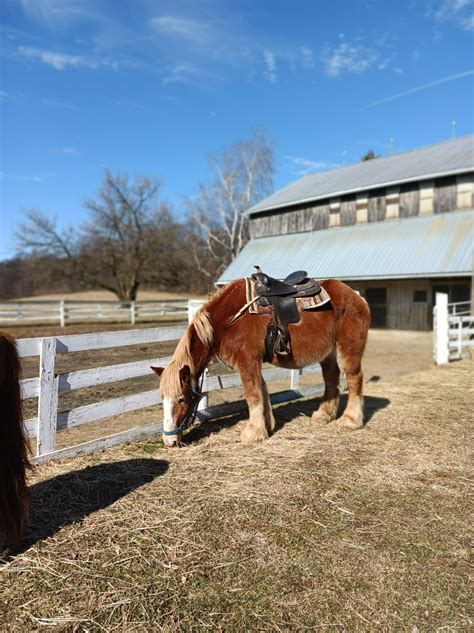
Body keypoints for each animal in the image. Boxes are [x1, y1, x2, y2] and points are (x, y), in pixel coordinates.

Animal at [152, 278, 370, 446]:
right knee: (331, 379)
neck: (227, 320)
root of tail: (357, 297)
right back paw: (324, 415)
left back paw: (350, 420)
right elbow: (262, 390)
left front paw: (253, 433)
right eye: (163, 399)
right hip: (328, 354)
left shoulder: (247, 361)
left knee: (354, 378)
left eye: (182, 399)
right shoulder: (254, 362)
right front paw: (267, 425)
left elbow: (252, 393)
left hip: (348, 348)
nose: (169, 441)